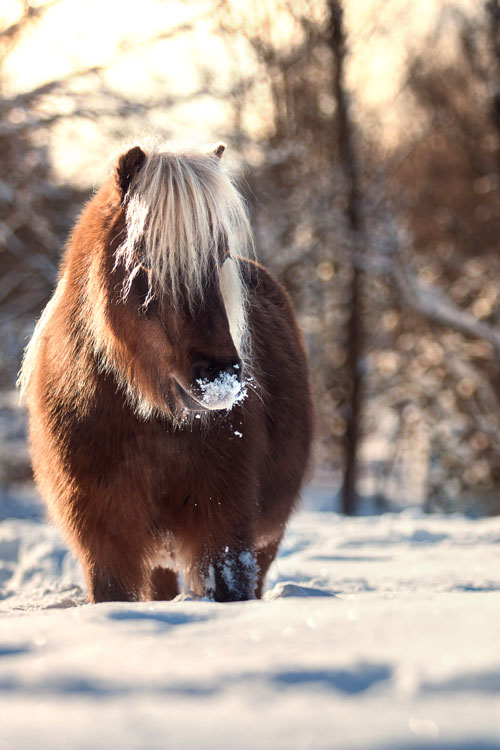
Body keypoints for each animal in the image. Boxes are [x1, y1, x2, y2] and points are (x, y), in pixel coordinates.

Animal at [19, 140, 312, 603]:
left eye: (221, 257)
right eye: (145, 260)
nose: (219, 378)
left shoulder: (224, 539)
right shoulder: (104, 545)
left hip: (265, 541)